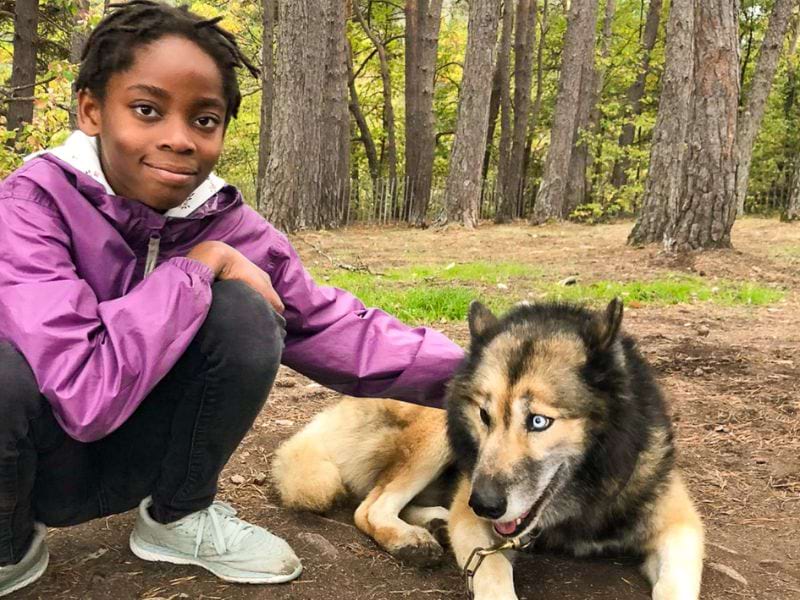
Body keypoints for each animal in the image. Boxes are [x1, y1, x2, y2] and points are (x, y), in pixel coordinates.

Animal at [272, 300, 704, 600]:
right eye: (484, 414)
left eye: (538, 421)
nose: (485, 505)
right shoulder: (474, 519)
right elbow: (494, 574)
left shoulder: (680, 525)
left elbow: (675, 587)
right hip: (439, 431)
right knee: (370, 507)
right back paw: (411, 539)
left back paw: (432, 522)